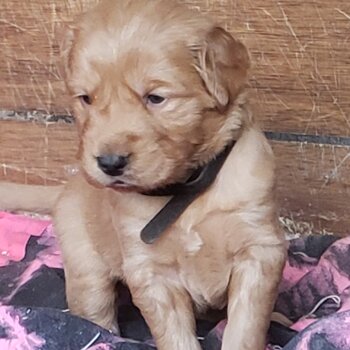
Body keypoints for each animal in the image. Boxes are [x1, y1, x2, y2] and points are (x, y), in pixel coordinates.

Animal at [0, 0, 286, 350]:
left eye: (155, 98)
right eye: (86, 98)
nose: (109, 163)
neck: (186, 192)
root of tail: (69, 186)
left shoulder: (259, 250)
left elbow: (245, 327)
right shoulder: (150, 271)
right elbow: (175, 336)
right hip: (84, 262)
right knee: (93, 308)